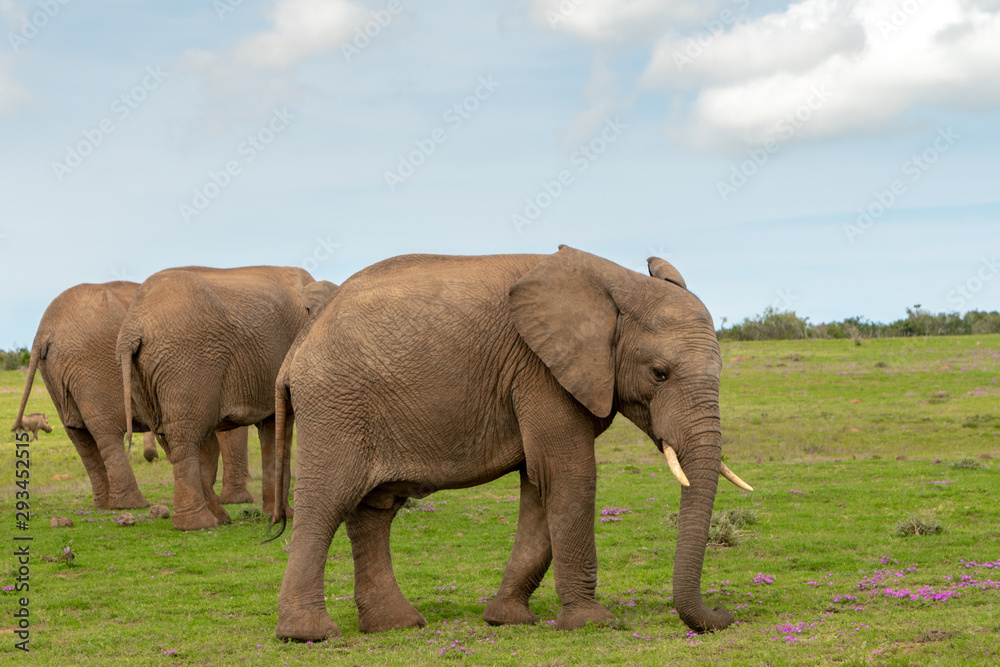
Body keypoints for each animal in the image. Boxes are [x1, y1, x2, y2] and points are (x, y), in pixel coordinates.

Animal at [117, 265, 337, 531]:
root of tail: (132, 326)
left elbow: (272, 429)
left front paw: (276, 514)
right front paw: (286, 515)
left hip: (143, 374)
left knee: (177, 440)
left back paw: (218, 518)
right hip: (188, 363)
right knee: (186, 439)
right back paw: (199, 524)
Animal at [270, 246, 752, 641]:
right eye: (659, 373)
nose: (724, 613)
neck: (617, 281)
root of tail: (295, 350)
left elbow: (540, 485)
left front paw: (506, 619)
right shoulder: (540, 370)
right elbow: (569, 475)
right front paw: (593, 623)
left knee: (373, 512)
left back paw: (396, 626)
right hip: (335, 406)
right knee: (326, 504)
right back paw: (309, 634)